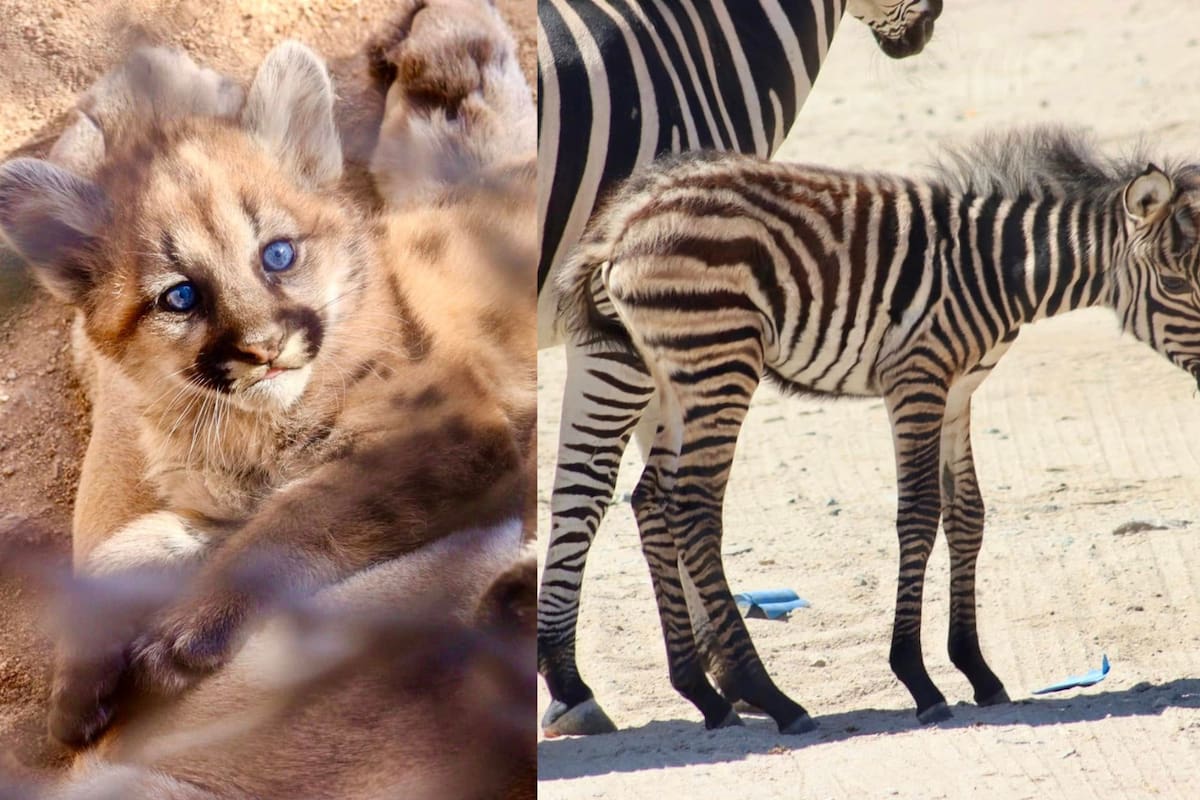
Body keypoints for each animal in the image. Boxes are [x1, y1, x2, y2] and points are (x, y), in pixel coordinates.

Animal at [537, 0, 944, 737]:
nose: (927, 23)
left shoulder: (674, 315)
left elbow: (658, 489)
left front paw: (719, 668)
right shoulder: (632, 314)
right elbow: (591, 488)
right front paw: (569, 682)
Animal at [557, 127, 1200, 733]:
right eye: (1177, 285)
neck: (997, 270)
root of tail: (623, 227)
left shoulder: (958, 393)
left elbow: (966, 514)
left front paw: (977, 670)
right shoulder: (916, 377)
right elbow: (917, 514)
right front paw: (918, 680)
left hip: (673, 377)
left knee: (651, 501)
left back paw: (705, 695)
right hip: (721, 360)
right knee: (691, 508)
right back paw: (771, 697)